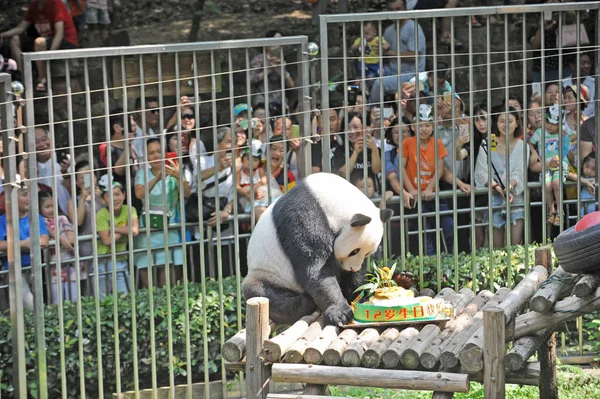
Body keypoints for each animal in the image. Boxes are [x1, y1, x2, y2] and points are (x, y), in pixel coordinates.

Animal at [241, 172, 392, 324]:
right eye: (354, 251)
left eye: (367, 253)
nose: (352, 268)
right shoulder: (304, 218)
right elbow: (316, 269)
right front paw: (340, 313)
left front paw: (359, 292)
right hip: (268, 274)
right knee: (260, 292)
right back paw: (306, 302)